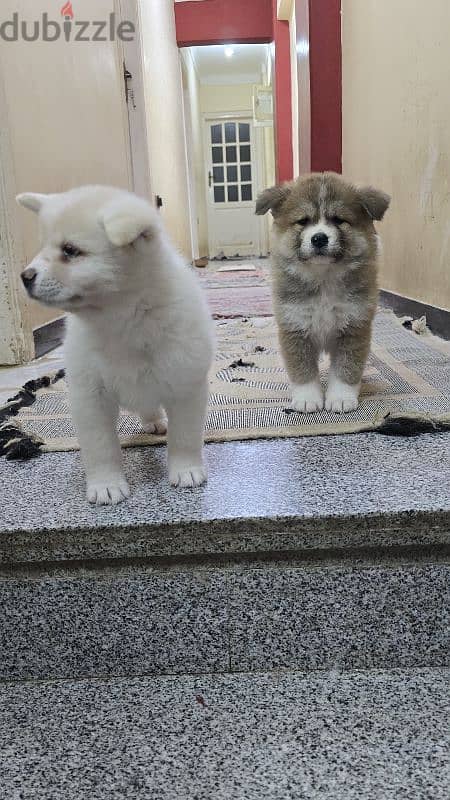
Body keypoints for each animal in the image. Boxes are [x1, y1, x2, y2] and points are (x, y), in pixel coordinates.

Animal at [17, 184, 214, 504]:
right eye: (43, 247)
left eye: (70, 250)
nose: (25, 276)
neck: (123, 318)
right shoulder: (90, 397)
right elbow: (101, 447)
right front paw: (106, 483)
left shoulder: (185, 385)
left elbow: (185, 436)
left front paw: (186, 469)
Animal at [256, 173, 390, 412]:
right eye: (303, 221)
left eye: (338, 220)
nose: (319, 238)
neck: (324, 278)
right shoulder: (295, 328)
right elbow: (303, 370)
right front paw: (307, 398)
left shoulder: (353, 329)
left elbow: (346, 368)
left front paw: (341, 397)